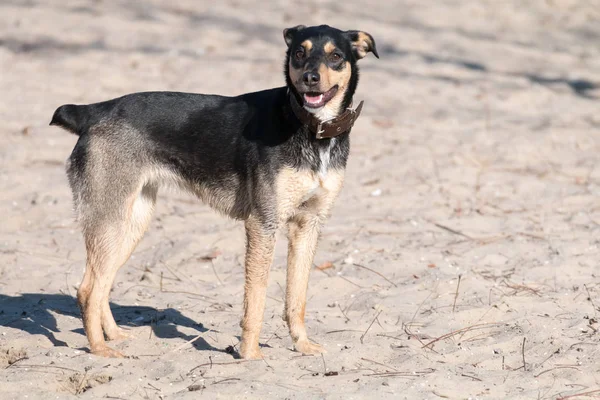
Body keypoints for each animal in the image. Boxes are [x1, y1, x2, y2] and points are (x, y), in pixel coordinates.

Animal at [52, 24, 380, 360]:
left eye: (336, 56)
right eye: (300, 53)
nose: (310, 78)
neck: (311, 128)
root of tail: (94, 112)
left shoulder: (308, 226)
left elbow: (296, 299)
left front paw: (301, 345)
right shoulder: (263, 224)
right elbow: (256, 300)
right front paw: (250, 354)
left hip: (131, 224)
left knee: (100, 285)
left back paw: (115, 336)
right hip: (110, 219)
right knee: (87, 290)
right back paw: (100, 349)